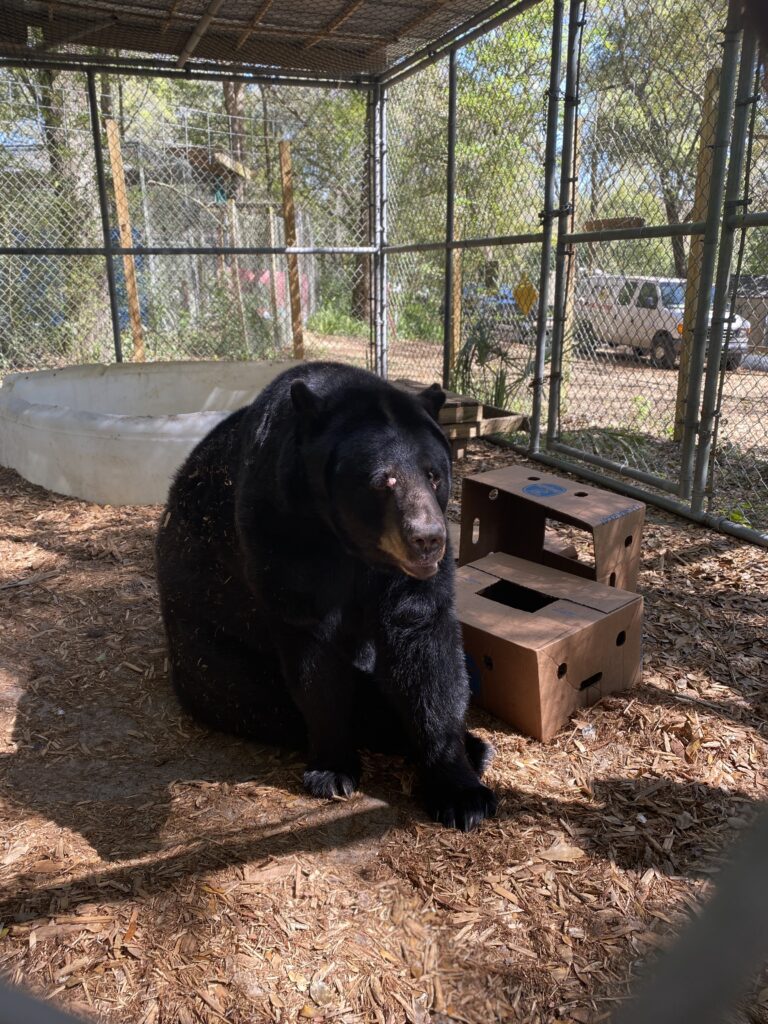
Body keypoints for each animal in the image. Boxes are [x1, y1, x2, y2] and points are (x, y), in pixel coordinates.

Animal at [156, 364, 499, 827]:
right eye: (384, 479)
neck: (347, 542)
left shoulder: (406, 575)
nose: (428, 539)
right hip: (215, 648)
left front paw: (462, 792)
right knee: (259, 697)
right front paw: (332, 770)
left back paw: (474, 746)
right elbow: (313, 658)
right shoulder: (279, 531)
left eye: (435, 474)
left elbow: (426, 644)